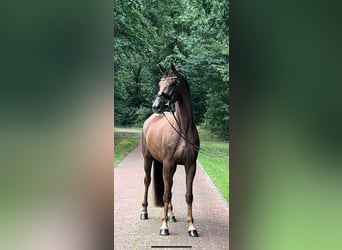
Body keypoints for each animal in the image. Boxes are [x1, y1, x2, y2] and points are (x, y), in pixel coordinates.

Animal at [139, 63, 199, 236]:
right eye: (160, 83)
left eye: (172, 83)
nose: (156, 106)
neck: (182, 130)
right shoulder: (168, 164)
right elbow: (165, 195)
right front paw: (164, 226)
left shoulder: (190, 165)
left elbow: (188, 195)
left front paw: (191, 227)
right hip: (148, 159)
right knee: (147, 181)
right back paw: (144, 212)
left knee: (169, 188)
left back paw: (171, 215)